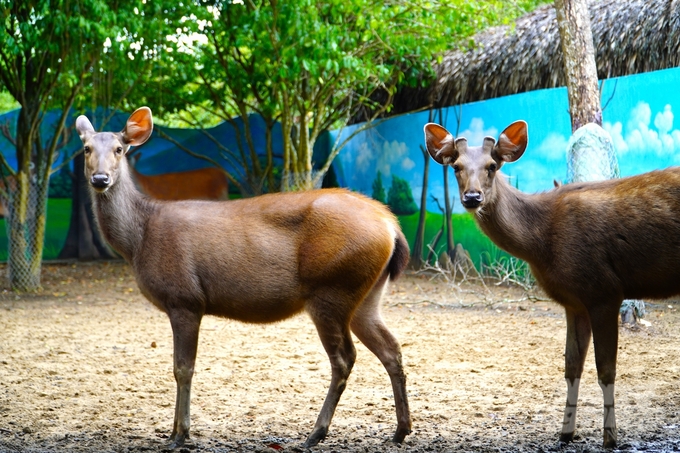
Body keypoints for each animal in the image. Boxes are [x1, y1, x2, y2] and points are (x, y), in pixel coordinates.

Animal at [77, 107, 412, 448]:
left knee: (344, 358)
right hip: (366, 295)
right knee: (391, 348)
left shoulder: (185, 299)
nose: (100, 179)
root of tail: (391, 226)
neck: (138, 240)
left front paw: (180, 434)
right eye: (86, 148)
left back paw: (316, 432)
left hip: (332, 289)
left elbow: (183, 368)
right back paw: (400, 430)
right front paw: (174, 431)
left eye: (119, 149)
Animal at [422, 121, 680, 448]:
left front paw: (610, 437)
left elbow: (606, 370)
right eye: (456, 167)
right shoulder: (574, 302)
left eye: (492, 166)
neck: (540, 243)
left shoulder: (604, 290)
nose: (472, 197)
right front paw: (566, 433)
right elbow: (571, 367)